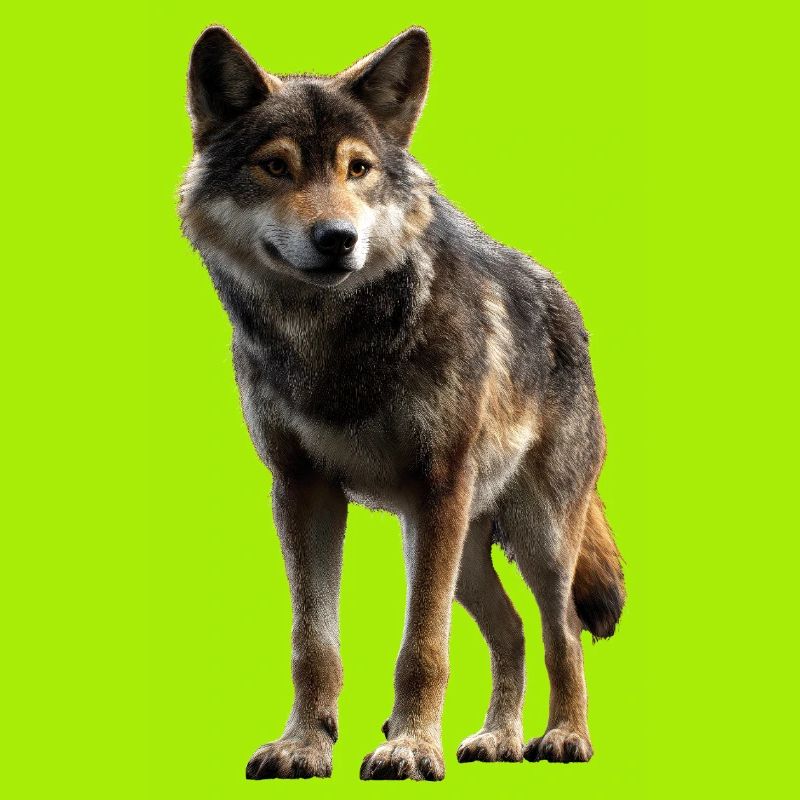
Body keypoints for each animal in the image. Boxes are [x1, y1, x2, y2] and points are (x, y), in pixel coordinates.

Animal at [179, 25, 625, 781]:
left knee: (559, 630)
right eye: (276, 168)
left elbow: (423, 646)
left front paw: (411, 747)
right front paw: (304, 745)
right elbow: (313, 644)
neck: (334, 341)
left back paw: (564, 737)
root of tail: (568, 307)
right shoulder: (302, 490)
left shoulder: (437, 486)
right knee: (510, 632)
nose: (338, 239)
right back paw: (498, 739)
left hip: (530, 536)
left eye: (357, 168)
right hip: (461, 550)